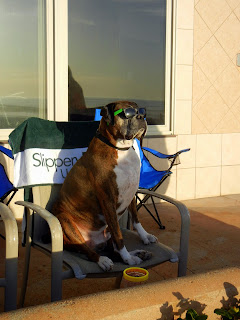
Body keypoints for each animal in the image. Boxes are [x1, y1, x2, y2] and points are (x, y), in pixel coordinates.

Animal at [52, 100, 158, 270]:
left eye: (141, 111)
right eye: (127, 113)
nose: (142, 117)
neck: (120, 148)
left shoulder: (131, 194)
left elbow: (135, 219)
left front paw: (145, 236)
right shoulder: (108, 200)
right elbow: (119, 235)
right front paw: (128, 259)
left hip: (105, 235)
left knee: (112, 250)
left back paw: (138, 253)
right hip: (65, 222)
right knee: (88, 251)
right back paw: (103, 260)